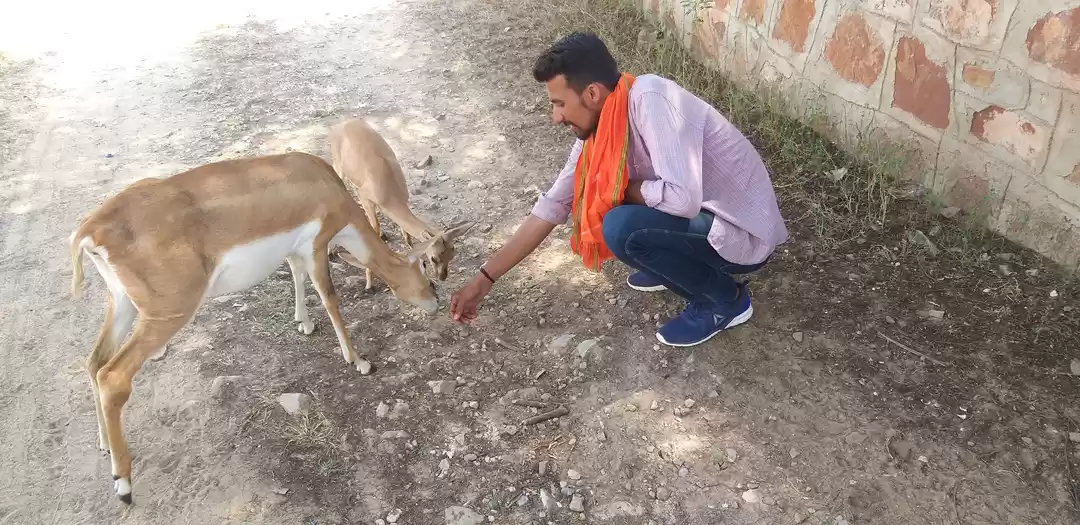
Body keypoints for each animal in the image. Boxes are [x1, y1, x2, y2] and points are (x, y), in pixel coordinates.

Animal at [69, 151, 449, 505]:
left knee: (94, 361)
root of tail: (90, 232)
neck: (325, 185)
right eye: (426, 275)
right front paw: (359, 361)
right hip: (168, 312)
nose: (437, 301)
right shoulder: (316, 244)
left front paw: (304, 323)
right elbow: (329, 296)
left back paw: (105, 446)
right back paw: (123, 484)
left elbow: (296, 276)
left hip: (122, 302)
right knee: (113, 376)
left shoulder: (294, 250)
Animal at [329, 117, 473, 289]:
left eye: (452, 254)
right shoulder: (365, 197)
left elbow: (407, 237)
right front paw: (369, 283)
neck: (390, 191)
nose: (442, 277)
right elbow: (374, 229)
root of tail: (342, 123)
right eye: (434, 258)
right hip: (337, 165)